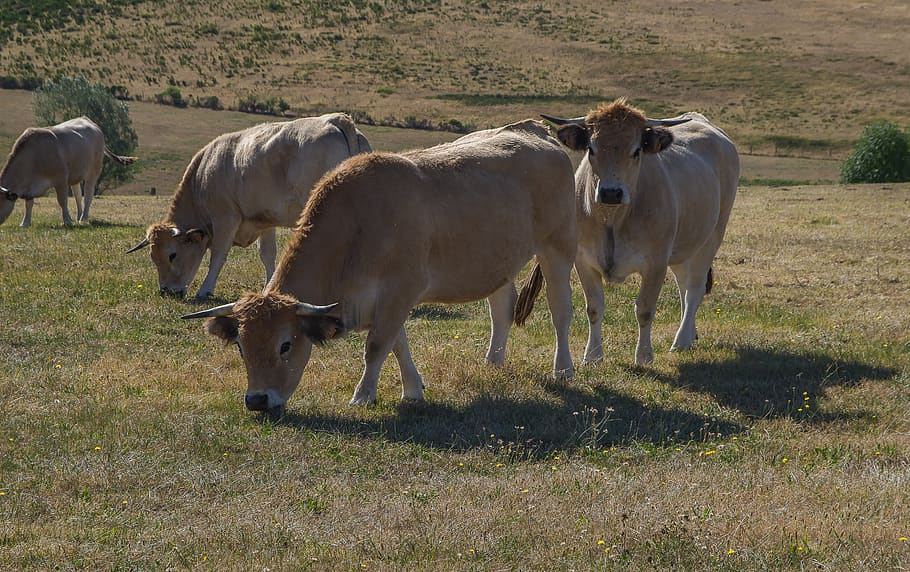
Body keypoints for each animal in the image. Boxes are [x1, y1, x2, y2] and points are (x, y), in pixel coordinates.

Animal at [0, 117, 135, 227]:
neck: (34, 155)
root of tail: (88, 120)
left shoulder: (61, 179)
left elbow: (62, 201)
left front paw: (67, 221)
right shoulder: (29, 187)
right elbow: (29, 204)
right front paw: (25, 223)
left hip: (93, 171)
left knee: (88, 194)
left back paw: (83, 218)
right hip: (75, 174)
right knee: (78, 195)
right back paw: (78, 216)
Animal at [127, 113, 372, 300]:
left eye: (172, 255)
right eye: (153, 257)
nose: (166, 291)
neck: (201, 179)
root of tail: (335, 120)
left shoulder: (225, 218)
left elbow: (218, 255)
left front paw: (205, 290)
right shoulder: (265, 221)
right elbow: (268, 254)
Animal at [181, 120, 578, 414]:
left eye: (285, 345)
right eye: (241, 347)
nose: (257, 400)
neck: (357, 223)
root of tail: (534, 129)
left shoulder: (402, 288)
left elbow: (377, 345)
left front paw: (362, 396)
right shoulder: (384, 299)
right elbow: (396, 343)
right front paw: (412, 389)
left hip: (557, 245)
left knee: (561, 311)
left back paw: (564, 368)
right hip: (497, 262)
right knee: (501, 308)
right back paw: (493, 361)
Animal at [519, 99, 739, 366]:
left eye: (636, 151)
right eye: (591, 148)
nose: (611, 192)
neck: (613, 220)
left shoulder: (656, 262)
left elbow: (644, 309)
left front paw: (643, 356)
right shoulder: (584, 260)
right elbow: (594, 307)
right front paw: (592, 355)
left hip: (712, 236)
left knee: (694, 288)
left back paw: (681, 340)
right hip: (684, 246)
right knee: (684, 285)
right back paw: (690, 333)